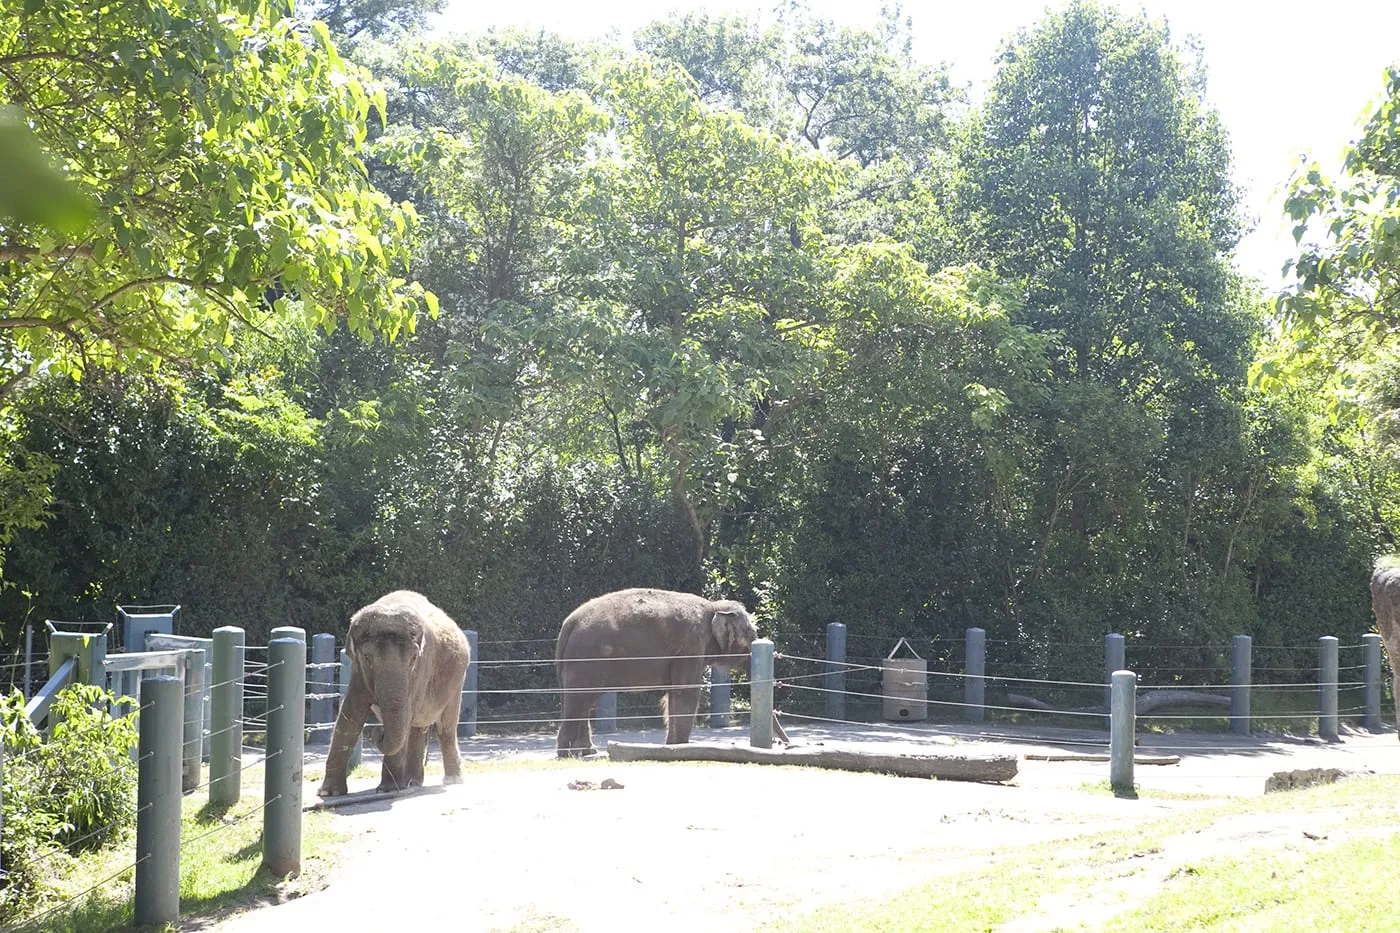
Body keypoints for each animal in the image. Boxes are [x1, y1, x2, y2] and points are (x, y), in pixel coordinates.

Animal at [317, 588, 470, 790]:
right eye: (367, 657)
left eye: (414, 658)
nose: (377, 732)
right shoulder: (358, 671)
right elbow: (349, 714)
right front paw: (328, 792)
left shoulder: (420, 671)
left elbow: (405, 716)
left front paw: (387, 789)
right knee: (415, 728)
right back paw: (413, 783)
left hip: (457, 681)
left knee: (445, 727)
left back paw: (451, 780)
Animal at [548, 588, 784, 756]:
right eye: (752, 635)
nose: (784, 744)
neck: (714, 606)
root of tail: (568, 625)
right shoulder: (691, 647)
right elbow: (686, 692)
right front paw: (682, 746)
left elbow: (673, 694)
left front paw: (672, 747)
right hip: (587, 660)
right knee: (580, 700)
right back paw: (566, 753)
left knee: (582, 702)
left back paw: (585, 752)